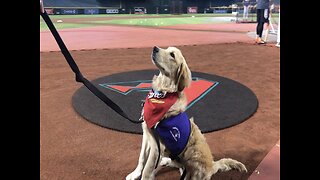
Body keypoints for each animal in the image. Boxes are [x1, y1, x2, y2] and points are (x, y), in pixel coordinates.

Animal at [126, 45, 246, 179]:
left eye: (172, 55)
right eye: (166, 49)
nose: (155, 48)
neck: (162, 94)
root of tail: (213, 165)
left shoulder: (157, 146)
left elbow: (147, 170)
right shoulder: (147, 134)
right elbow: (141, 158)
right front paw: (135, 173)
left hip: (193, 161)